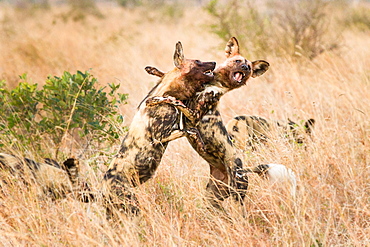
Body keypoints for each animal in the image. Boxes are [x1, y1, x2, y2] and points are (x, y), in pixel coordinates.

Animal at [102, 41, 217, 217]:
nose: (215, 62)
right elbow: (189, 129)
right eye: (198, 61)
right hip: (132, 207)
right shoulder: (159, 137)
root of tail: (102, 190)